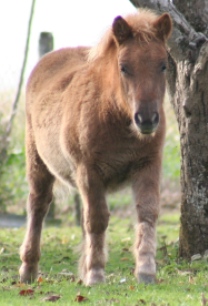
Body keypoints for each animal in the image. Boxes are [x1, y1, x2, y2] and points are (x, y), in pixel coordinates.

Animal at [19, 10, 172, 286]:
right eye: (124, 67)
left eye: (163, 65)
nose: (146, 119)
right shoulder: (89, 171)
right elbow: (97, 220)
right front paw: (96, 274)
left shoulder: (148, 165)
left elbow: (147, 212)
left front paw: (146, 271)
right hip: (38, 163)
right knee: (38, 205)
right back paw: (28, 270)